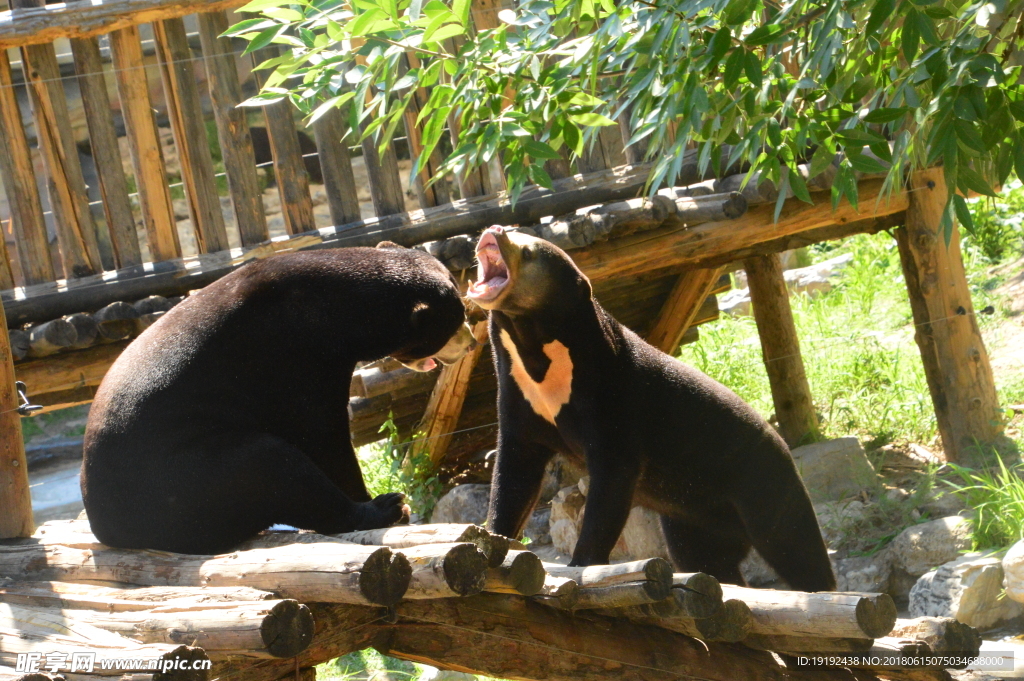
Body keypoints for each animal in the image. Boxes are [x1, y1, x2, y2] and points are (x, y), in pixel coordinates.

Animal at [81, 242, 473, 552]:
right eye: (456, 322)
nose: (470, 343)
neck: (336, 306)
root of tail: (107, 528)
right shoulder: (291, 356)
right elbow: (321, 434)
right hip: (187, 477)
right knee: (271, 465)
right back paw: (387, 507)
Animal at [468, 224, 835, 589]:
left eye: (528, 251)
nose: (494, 230)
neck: (543, 365)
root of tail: (782, 445)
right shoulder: (521, 404)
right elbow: (514, 478)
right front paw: (492, 538)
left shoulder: (613, 401)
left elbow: (611, 484)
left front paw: (581, 563)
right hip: (692, 521)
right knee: (709, 561)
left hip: (765, 484)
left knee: (796, 547)